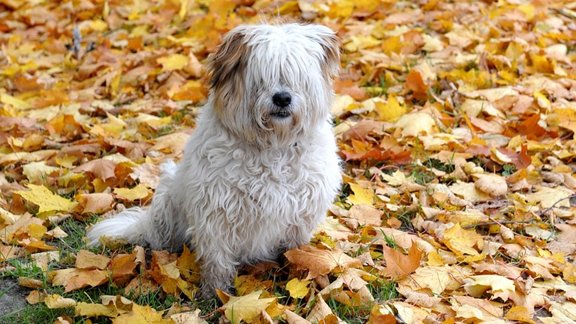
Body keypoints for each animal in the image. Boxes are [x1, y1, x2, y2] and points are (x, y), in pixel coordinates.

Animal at [86, 23, 342, 296]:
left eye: (298, 77)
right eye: (262, 78)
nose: (282, 98)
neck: (274, 146)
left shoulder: (300, 216)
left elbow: (294, 251)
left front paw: (295, 274)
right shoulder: (216, 214)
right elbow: (217, 259)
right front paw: (216, 294)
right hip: (167, 200)